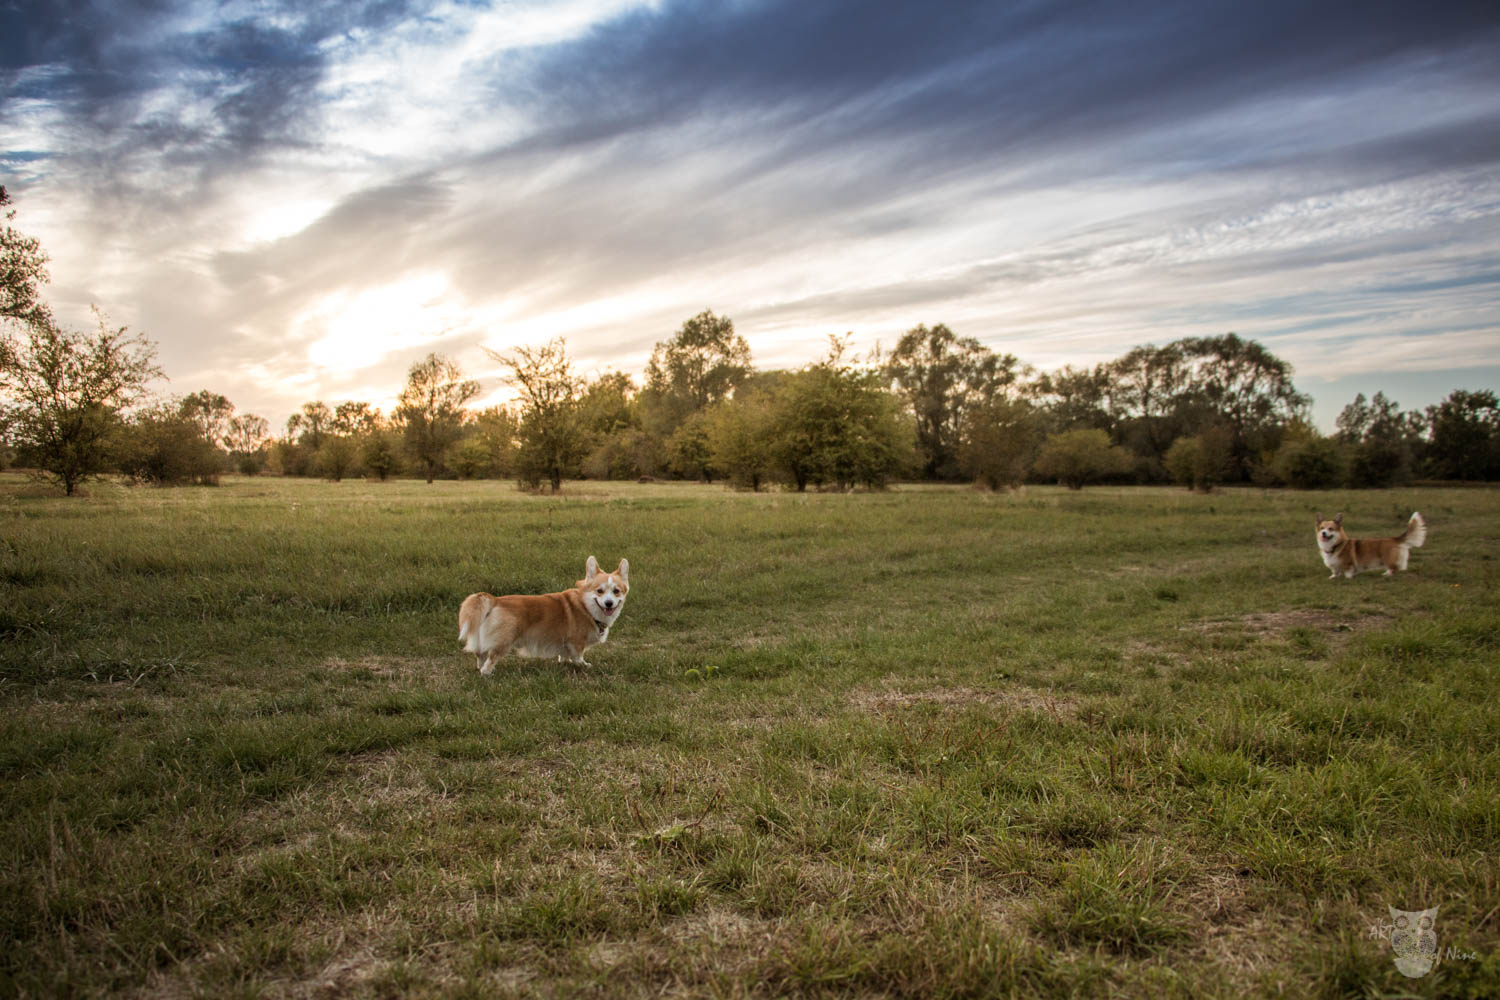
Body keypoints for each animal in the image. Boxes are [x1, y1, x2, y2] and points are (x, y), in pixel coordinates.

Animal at [458, 556, 629, 673]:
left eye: (616, 591)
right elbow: (578, 656)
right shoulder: (576, 642)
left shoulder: (565, 644)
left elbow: (565, 656)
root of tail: (495, 600)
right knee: (490, 659)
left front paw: (564, 663)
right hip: (504, 640)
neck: (586, 606)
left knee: (480, 654)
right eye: (599, 591)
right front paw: (584, 665)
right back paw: (487, 673)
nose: (609, 603)